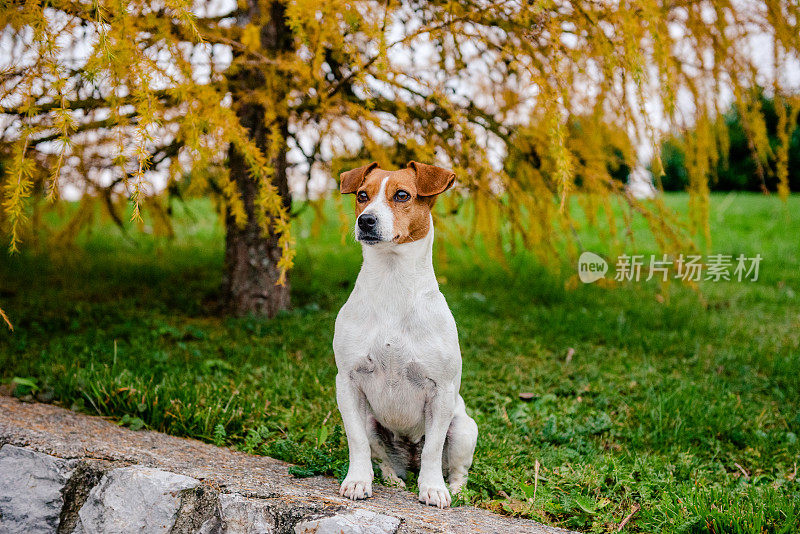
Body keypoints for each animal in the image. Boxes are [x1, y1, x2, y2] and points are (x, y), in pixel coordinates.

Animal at [330, 160, 476, 510]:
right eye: (362, 195)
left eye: (402, 195)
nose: (365, 220)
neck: (392, 281)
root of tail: (409, 458)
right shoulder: (347, 382)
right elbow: (356, 441)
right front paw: (358, 481)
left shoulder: (441, 391)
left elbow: (434, 449)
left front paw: (433, 489)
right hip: (374, 423)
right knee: (383, 458)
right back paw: (391, 479)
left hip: (464, 428)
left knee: (455, 467)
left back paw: (455, 488)